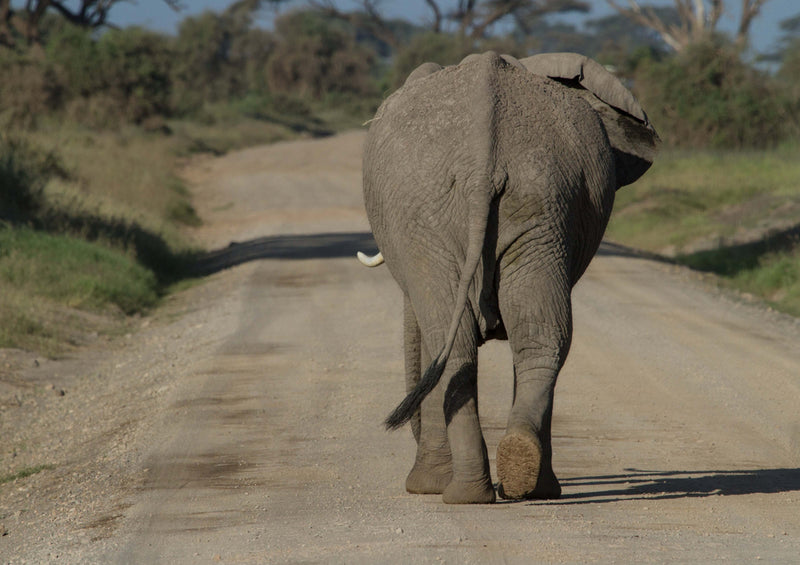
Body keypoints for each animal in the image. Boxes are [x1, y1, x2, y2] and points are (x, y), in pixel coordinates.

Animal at [360, 51, 660, 502]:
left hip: (438, 216)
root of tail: (482, 162)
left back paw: (462, 492)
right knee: (539, 336)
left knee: (454, 343)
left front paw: (424, 487)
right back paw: (524, 479)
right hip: (541, 202)